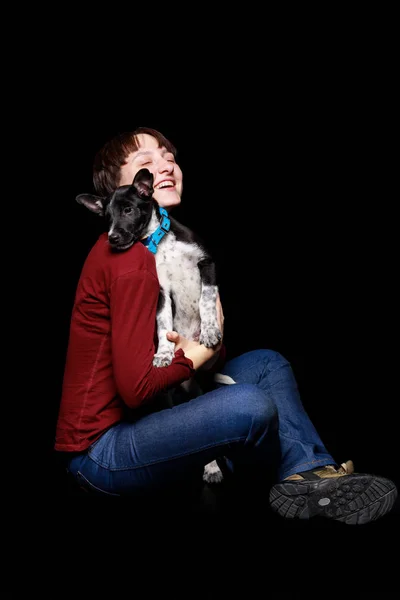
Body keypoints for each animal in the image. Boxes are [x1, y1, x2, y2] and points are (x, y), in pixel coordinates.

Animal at [75, 168, 225, 482]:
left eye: (128, 210)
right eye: (106, 218)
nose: (113, 238)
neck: (160, 241)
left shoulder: (207, 264)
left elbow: (206, 299)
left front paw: (209, 330)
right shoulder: (160, 291)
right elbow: (163, 325)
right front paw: (163, 354)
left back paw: (213, 466)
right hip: (166, 398)